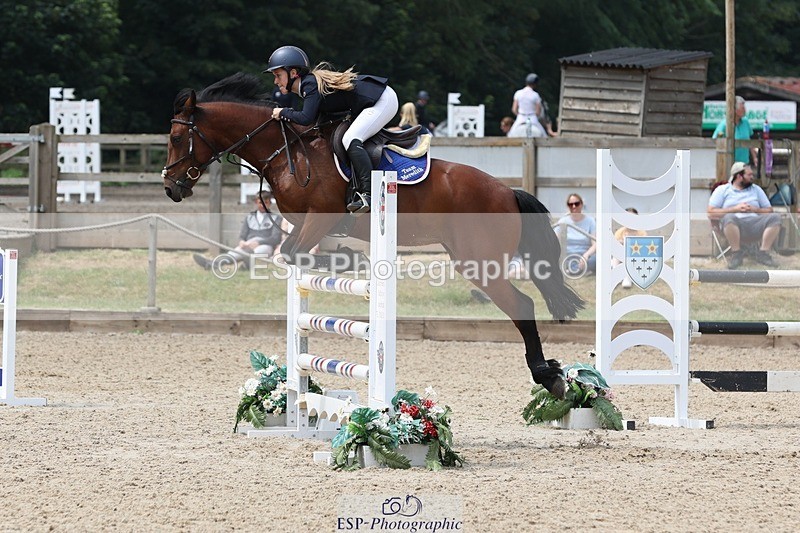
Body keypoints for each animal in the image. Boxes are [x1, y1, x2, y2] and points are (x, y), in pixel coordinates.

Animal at [162, 73, 584, 399]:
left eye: (176, 138)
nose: (170, 187)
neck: (286, 150)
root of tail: (507, 191)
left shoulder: (322, 218)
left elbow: (294, 252)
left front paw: (348, 262)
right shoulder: (305, 223)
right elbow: (293, 253)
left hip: (479, 262)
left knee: (522, 306)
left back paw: (548, 377)